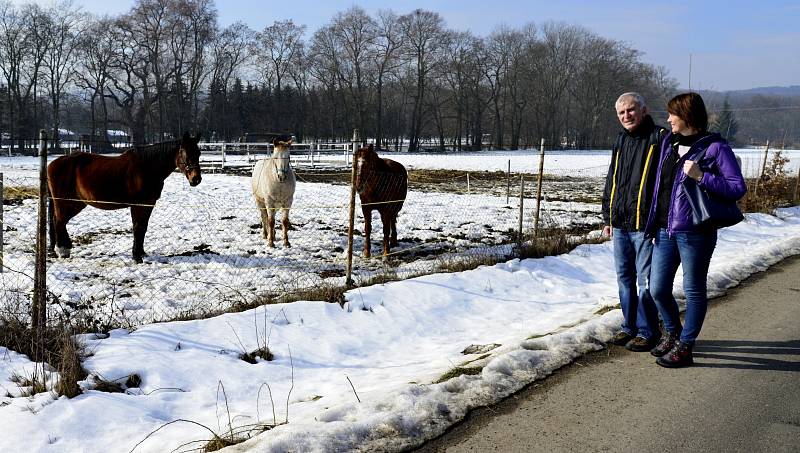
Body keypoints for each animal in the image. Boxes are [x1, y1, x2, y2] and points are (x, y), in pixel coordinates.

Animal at [47, 131, 203, 264]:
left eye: (198, 153)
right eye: (185, 153)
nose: (196, 179)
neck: (147, 168)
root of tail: (52, 164)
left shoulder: (148, 204)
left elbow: (143, 227)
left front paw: (141, 252)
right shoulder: (137, 205)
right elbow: (137, 227)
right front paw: (136, 256)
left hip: (77, 203)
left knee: (60, 221)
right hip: (64, 202)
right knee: (59, 221)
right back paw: (62, 250)